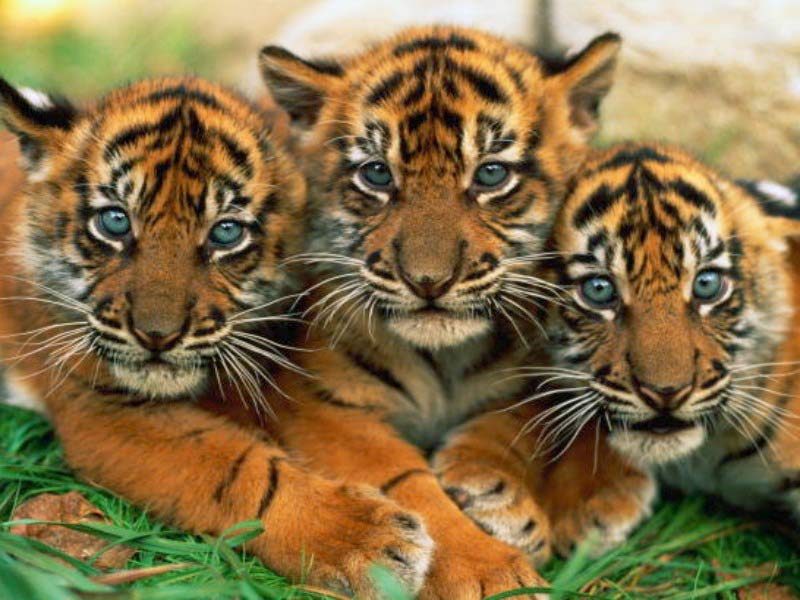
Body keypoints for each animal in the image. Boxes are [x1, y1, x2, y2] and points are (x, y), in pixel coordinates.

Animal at [0, 76, 442, 597]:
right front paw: (367, 542)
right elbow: (239, 470)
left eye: (226, 232)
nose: (157, 336)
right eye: (115, 221)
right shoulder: (101, 407)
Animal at [257, 25, 622, 597]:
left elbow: (509, 425)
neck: (443, 360)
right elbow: (406, 484)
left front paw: (495, 490)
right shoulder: (323, 405)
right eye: (377, 174)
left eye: (491, 174)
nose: (428, 280)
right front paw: (489, 572)